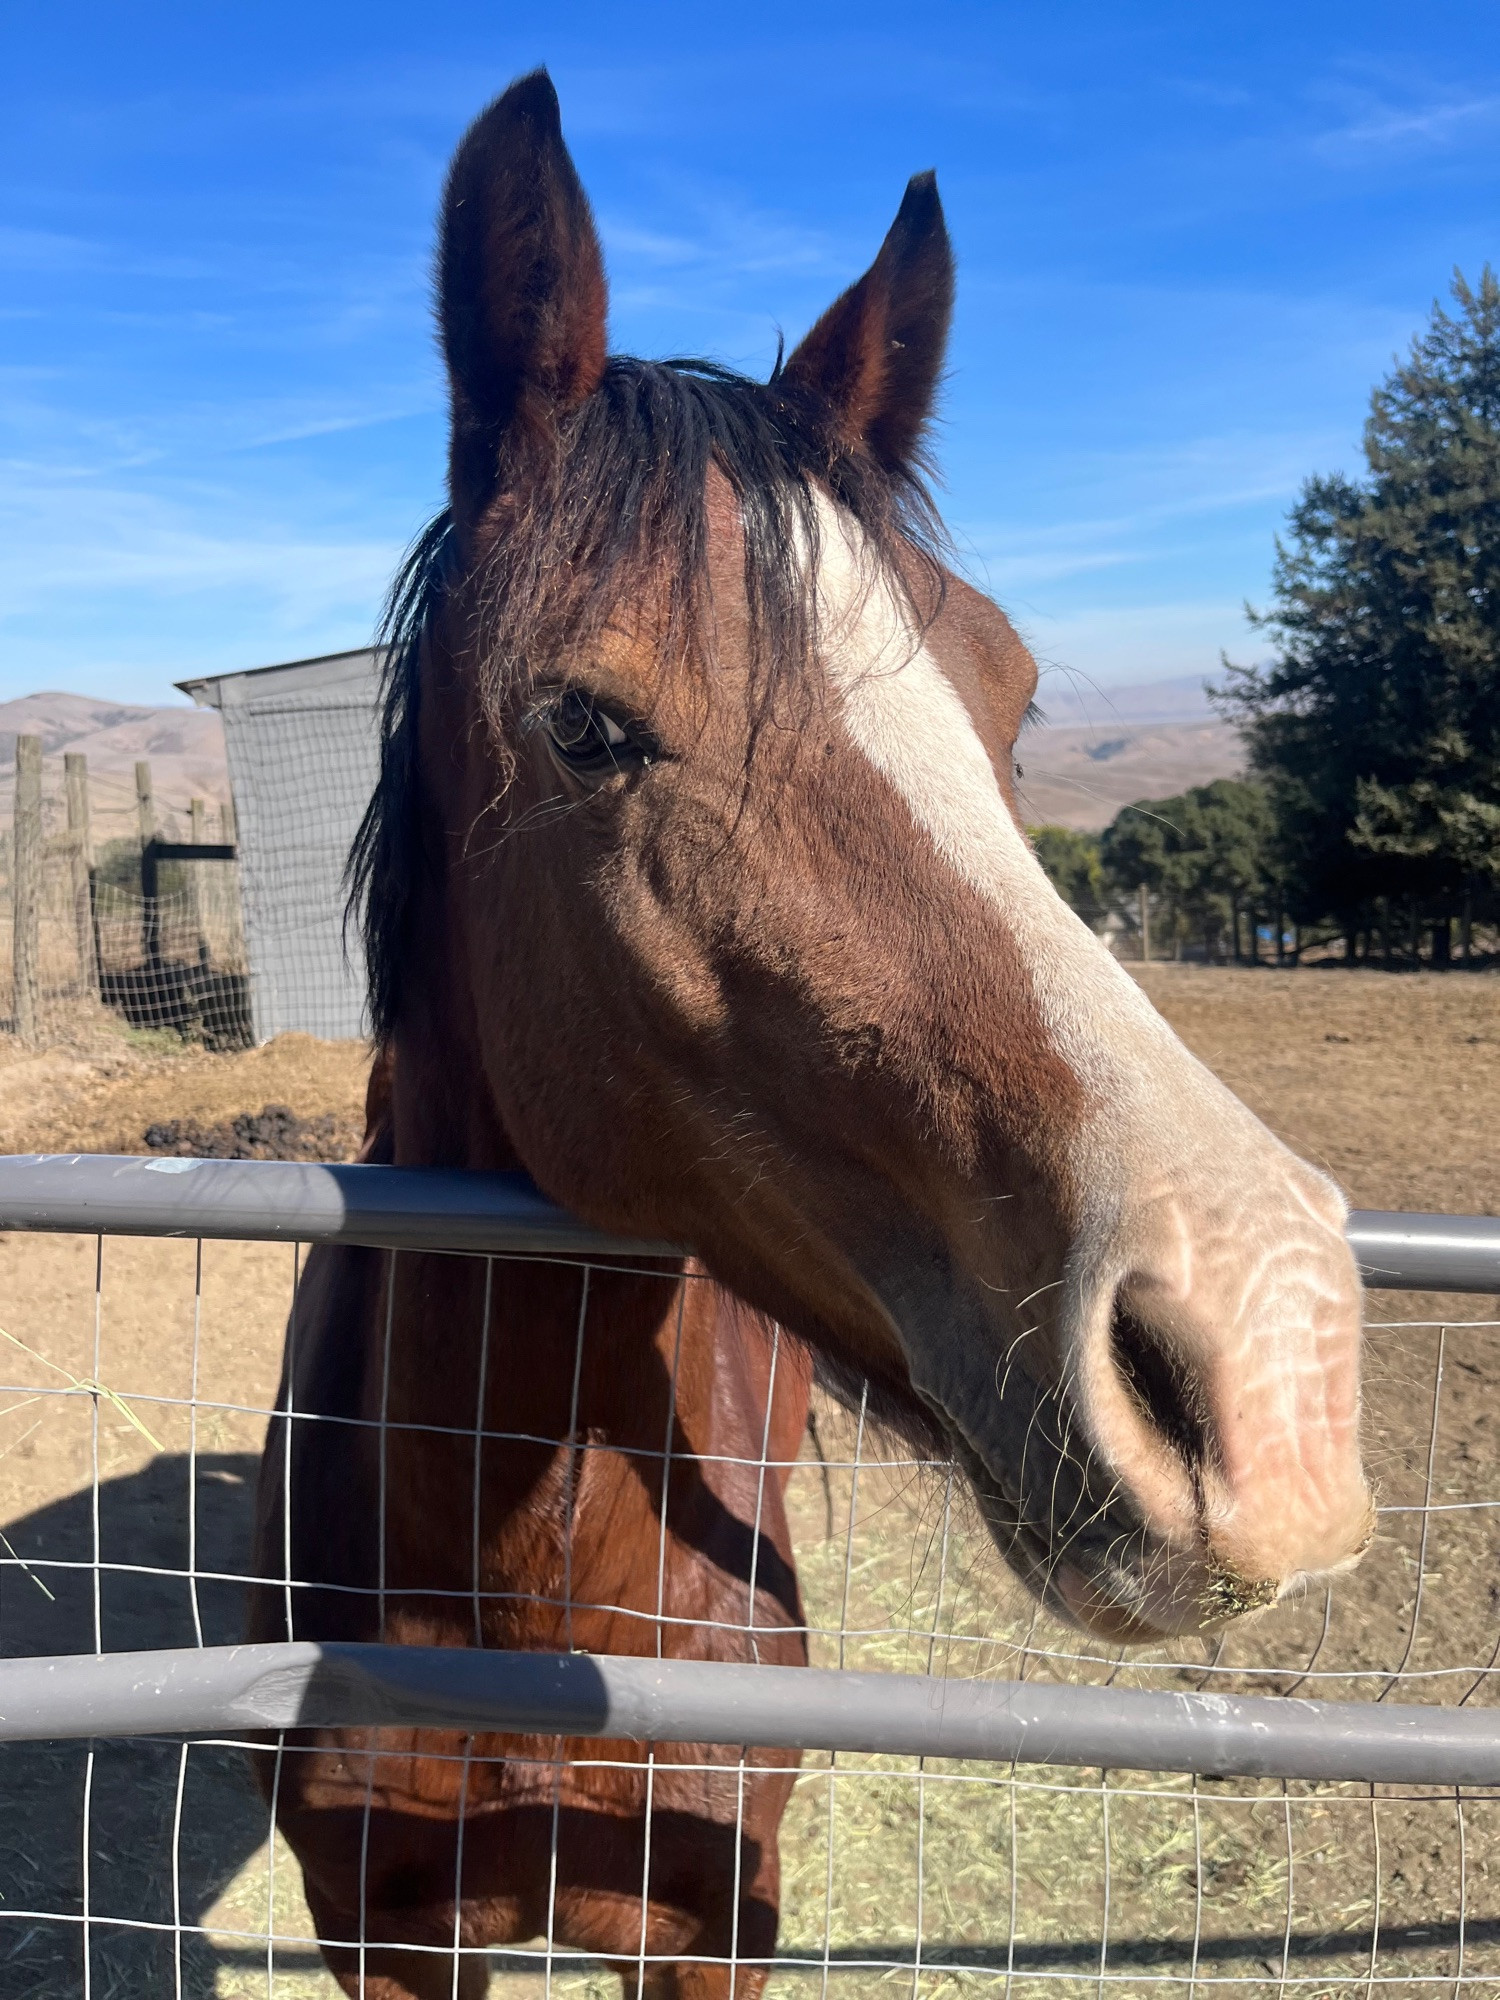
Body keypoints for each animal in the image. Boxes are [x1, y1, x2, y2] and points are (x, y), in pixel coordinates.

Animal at [253, 66, 1384, 2000]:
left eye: (1012, 697)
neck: (514, 1590)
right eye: (585, 722)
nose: (1275, 1362)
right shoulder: (380, 1936)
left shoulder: (723, 1925)